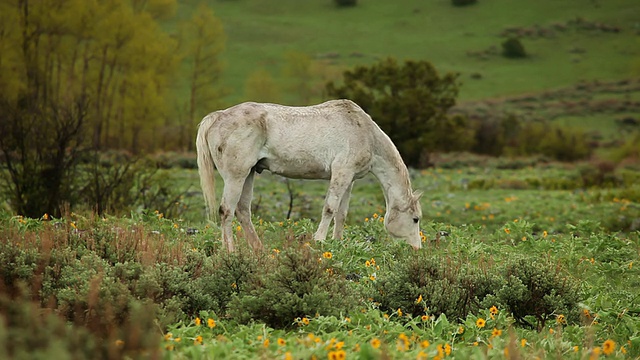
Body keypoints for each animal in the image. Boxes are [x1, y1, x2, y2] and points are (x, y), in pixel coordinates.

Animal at [198, 98, 422, 250]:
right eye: (416, 219)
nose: (417, 249)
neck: (365, 133)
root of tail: (217, 116)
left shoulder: (349, 179)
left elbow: (341, 214)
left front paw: (338, 243)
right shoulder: (341, 172)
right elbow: (330, 209)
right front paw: (319, 241)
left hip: (249, 174)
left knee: (243, 211)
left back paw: (259, 250)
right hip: (236, 176)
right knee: (226, 211)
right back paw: (230, 252)